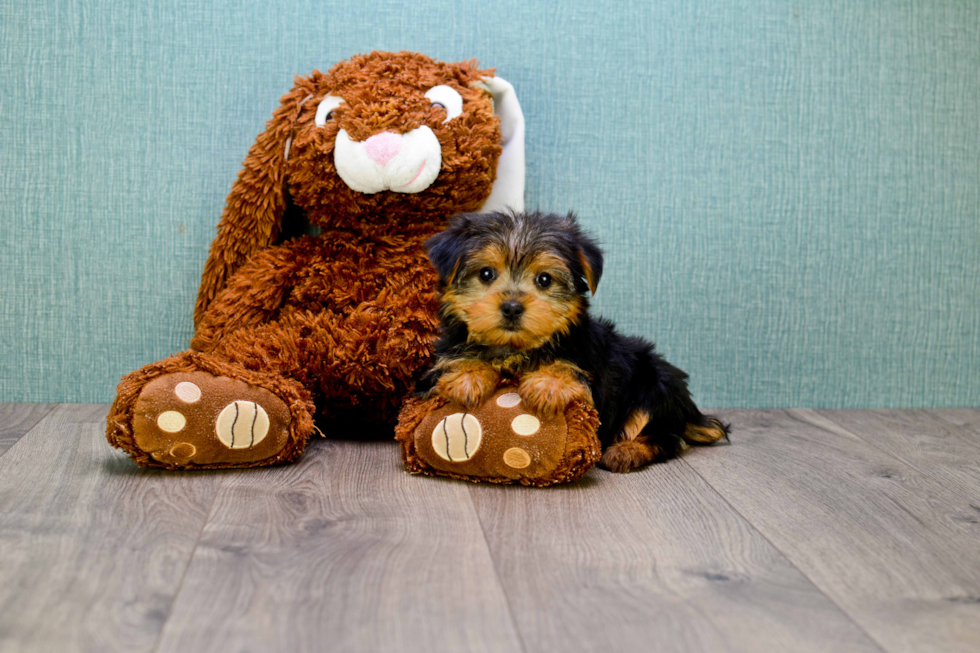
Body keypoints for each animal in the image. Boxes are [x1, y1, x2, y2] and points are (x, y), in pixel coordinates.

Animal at [416, 211, 728, 472]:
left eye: (544, 279)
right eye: (485, 274)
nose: (512, 307)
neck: (514, 350)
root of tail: (688, 412)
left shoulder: (593, 373)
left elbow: (572, 370)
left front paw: (549, 383)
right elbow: (454, 363)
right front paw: (468, 375)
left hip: (654, 382)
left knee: (665, 435)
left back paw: (627, 451)